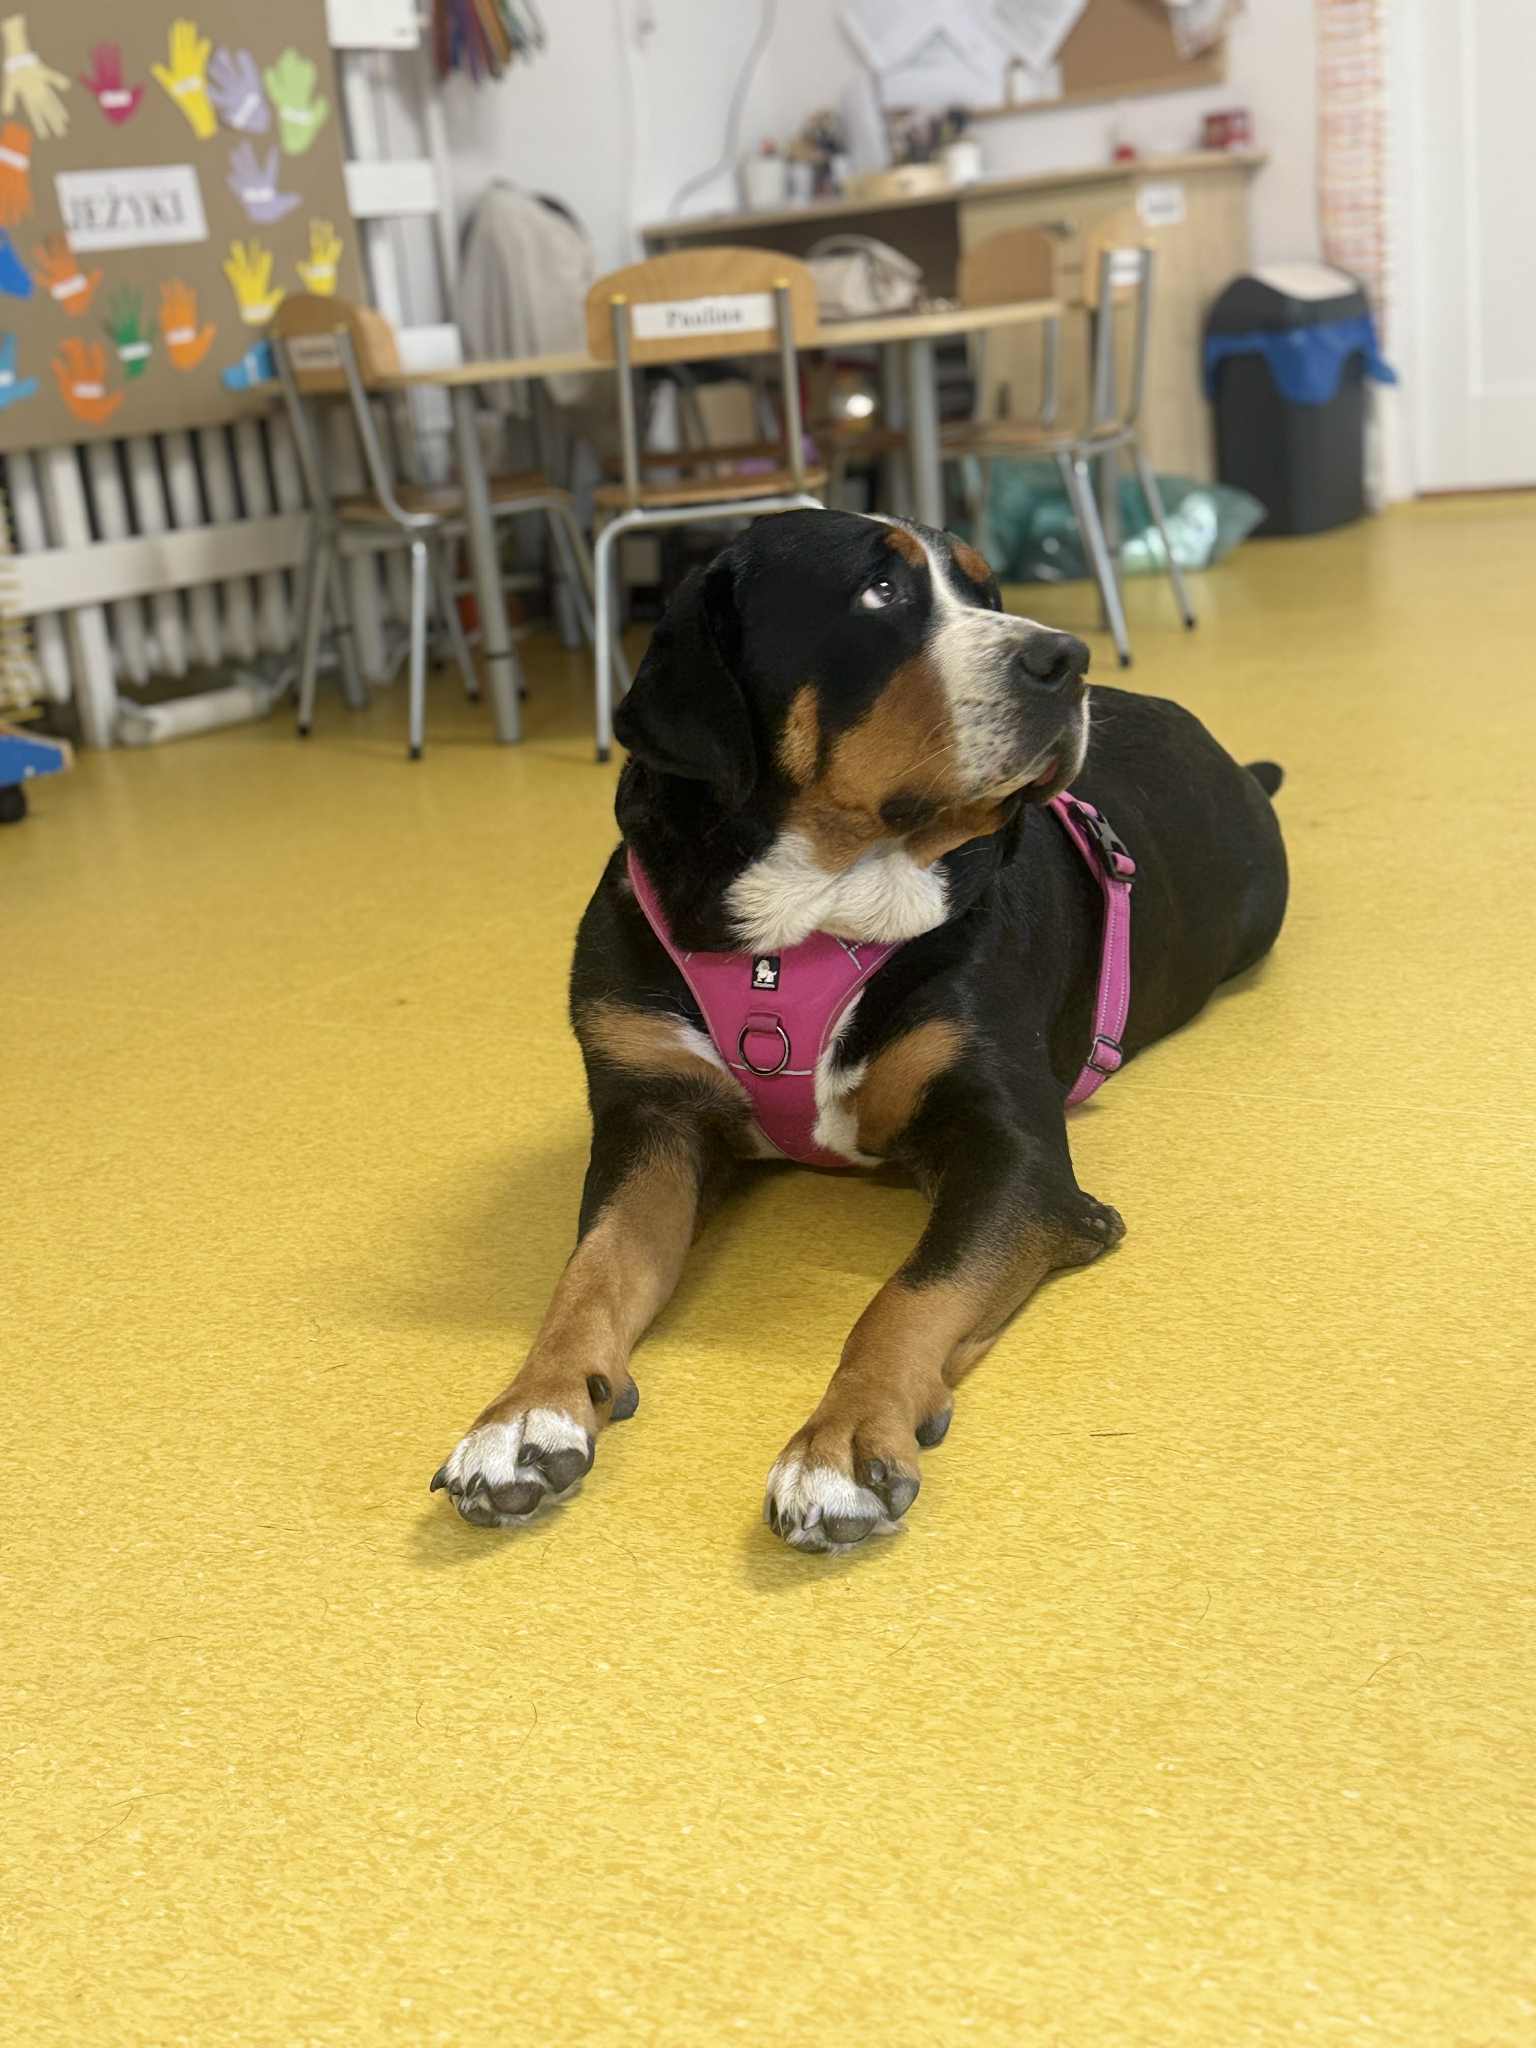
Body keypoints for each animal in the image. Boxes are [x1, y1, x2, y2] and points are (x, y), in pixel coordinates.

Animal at [431, 510, 1288, 1551]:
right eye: (880, 593)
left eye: (987, 592)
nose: (1067, 656)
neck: (807, 916)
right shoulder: (652, 1113)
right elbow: (590, 1272)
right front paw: (524, 1415)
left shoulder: (1013, 1155)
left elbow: (906, 1296)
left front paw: (841, 1443)